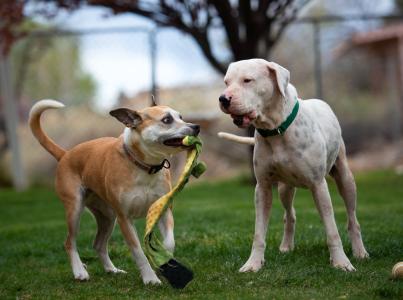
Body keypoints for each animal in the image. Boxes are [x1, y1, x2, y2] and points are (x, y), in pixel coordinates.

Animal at [28, 99, 200, 284]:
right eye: (167, 120)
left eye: (180, 117)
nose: (196, 126)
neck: (144, 166)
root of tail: (66, 154)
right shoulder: (125, 219)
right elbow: (138, 252)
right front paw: (150, 278)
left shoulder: (163, 209)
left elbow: (169, 242)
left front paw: (164, 263)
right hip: (75, 209)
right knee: (69, 242)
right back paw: (80, 271)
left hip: (107, 216)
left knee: (98, 244)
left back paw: (112, 270)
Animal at [218, 58, 370, 272]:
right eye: (226, 82)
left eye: (248, 80)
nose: (223, 99)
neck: (276, 129)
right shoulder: (263, 188)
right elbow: (259, 232)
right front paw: (253, 263)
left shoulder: (318, 185)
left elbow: (332, 229)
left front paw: (341, 262)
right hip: (285, 188)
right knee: (290, 215)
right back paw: (286, 246)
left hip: (345, 179)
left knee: (352, 218)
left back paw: (359, 251)